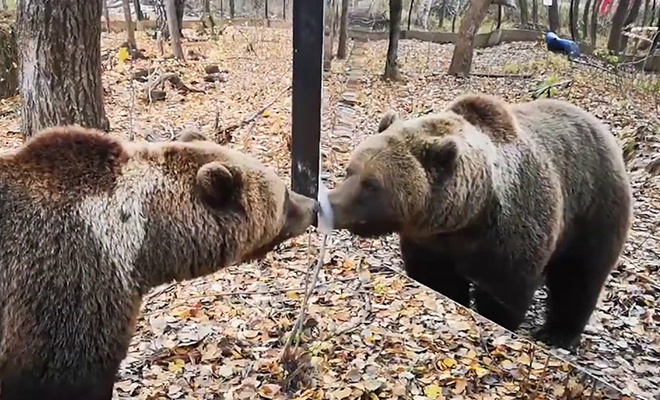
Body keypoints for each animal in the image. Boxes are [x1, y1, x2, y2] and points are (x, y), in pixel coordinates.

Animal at [330, 94, 636, 350]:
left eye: (372, 184)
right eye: (351, 170)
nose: (332, 204)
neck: (467, 218)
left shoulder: (512, 235)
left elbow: (503, 295)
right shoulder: (430, 242)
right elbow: (436, 279)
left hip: (594, 207)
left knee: (579, 276)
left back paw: (557, 333)